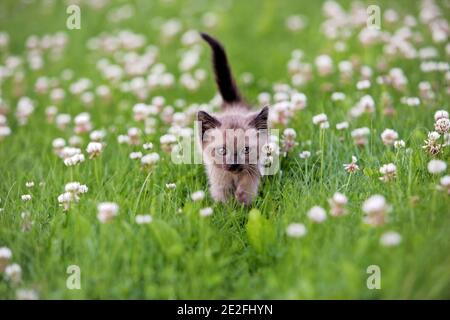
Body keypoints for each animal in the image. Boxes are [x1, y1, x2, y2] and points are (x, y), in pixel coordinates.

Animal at [197, 33, 268, 205]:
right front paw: (226, 208)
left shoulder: (253, 170)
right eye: (222, 150)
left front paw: (243, 202)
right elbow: (222, 195)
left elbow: (247, 187)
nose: (234, 164)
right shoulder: (217, 175)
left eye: (246, 150)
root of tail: (232, 104)